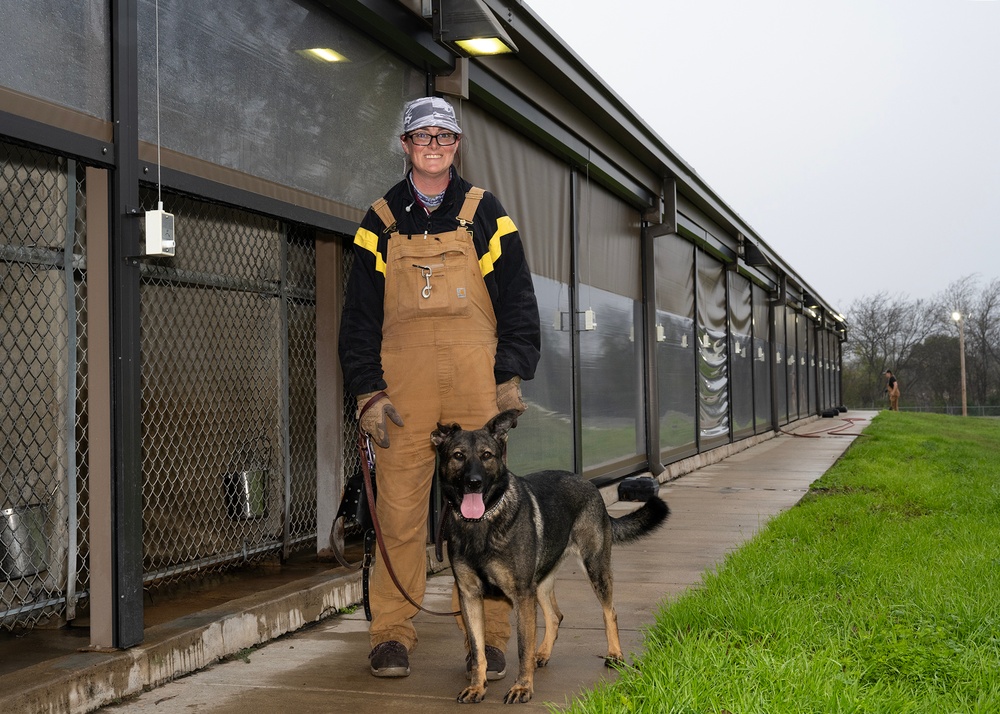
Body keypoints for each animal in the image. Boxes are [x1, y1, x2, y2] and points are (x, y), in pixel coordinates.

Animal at [432, 408, 672, 704]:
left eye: (487, 455)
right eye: (458, 455)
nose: (473, 483)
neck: (482, 523)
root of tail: (588, 482)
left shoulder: (522, 596)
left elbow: (523, 648)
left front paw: (522, 687)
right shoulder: (471, 597)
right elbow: (478, 651)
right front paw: (478, 687)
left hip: (595, 568)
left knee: (610, 612)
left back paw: (615, 654)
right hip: (541, 582)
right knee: (555, 616)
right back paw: (543, 653)